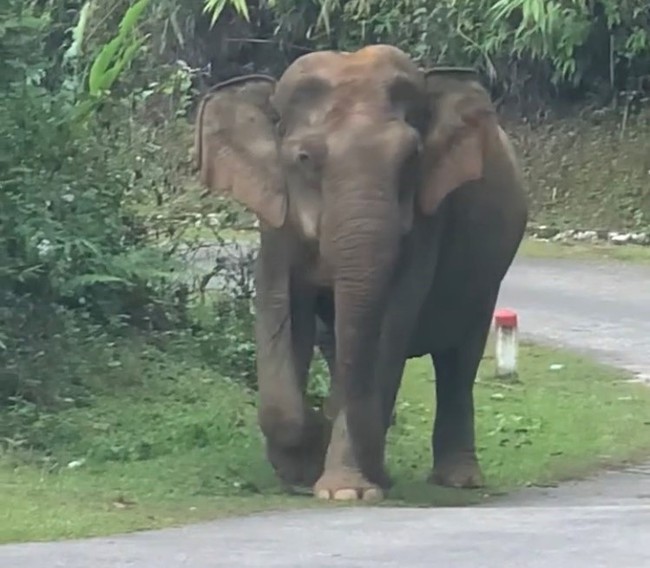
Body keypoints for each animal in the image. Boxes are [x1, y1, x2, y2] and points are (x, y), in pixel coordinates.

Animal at [191, 43, 528, 502]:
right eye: (304, 159)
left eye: (411, 159)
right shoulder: (276, 216)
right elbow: (280, 306)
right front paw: (304, 468)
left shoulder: (427, 218)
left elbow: (390, 321)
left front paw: (345, 491)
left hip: (487, 278)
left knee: (458, 359)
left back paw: (456, 480)